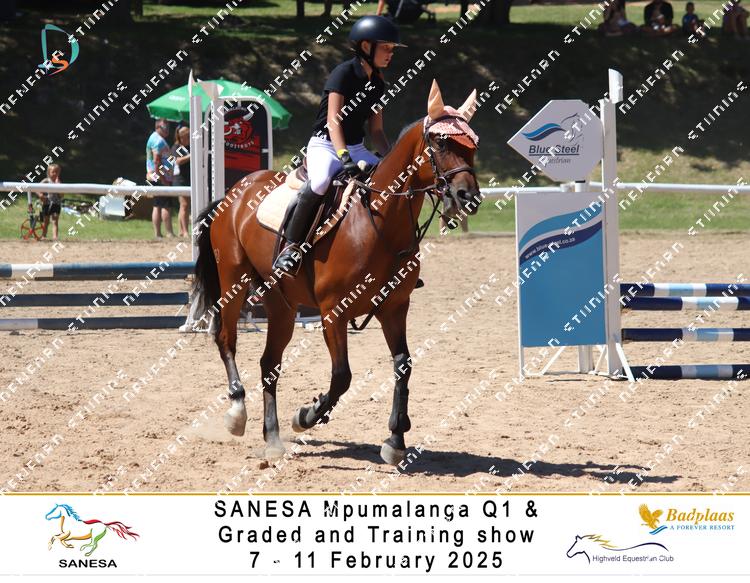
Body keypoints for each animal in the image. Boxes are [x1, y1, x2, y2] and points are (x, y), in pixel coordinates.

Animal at [192, 79, 482, 465]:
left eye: (472, 146)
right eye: (441, 143)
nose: (468, 197)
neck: (379, 222)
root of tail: (234, 192)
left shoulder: (394, 308)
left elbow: (403, 364)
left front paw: (395, 439)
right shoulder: (333, 312)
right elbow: (342, 376)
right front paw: (306, 415)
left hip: (281, 304)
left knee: (269, 364)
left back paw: (272, 438)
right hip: (233, 283)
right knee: (226, 339)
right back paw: (238, 413)